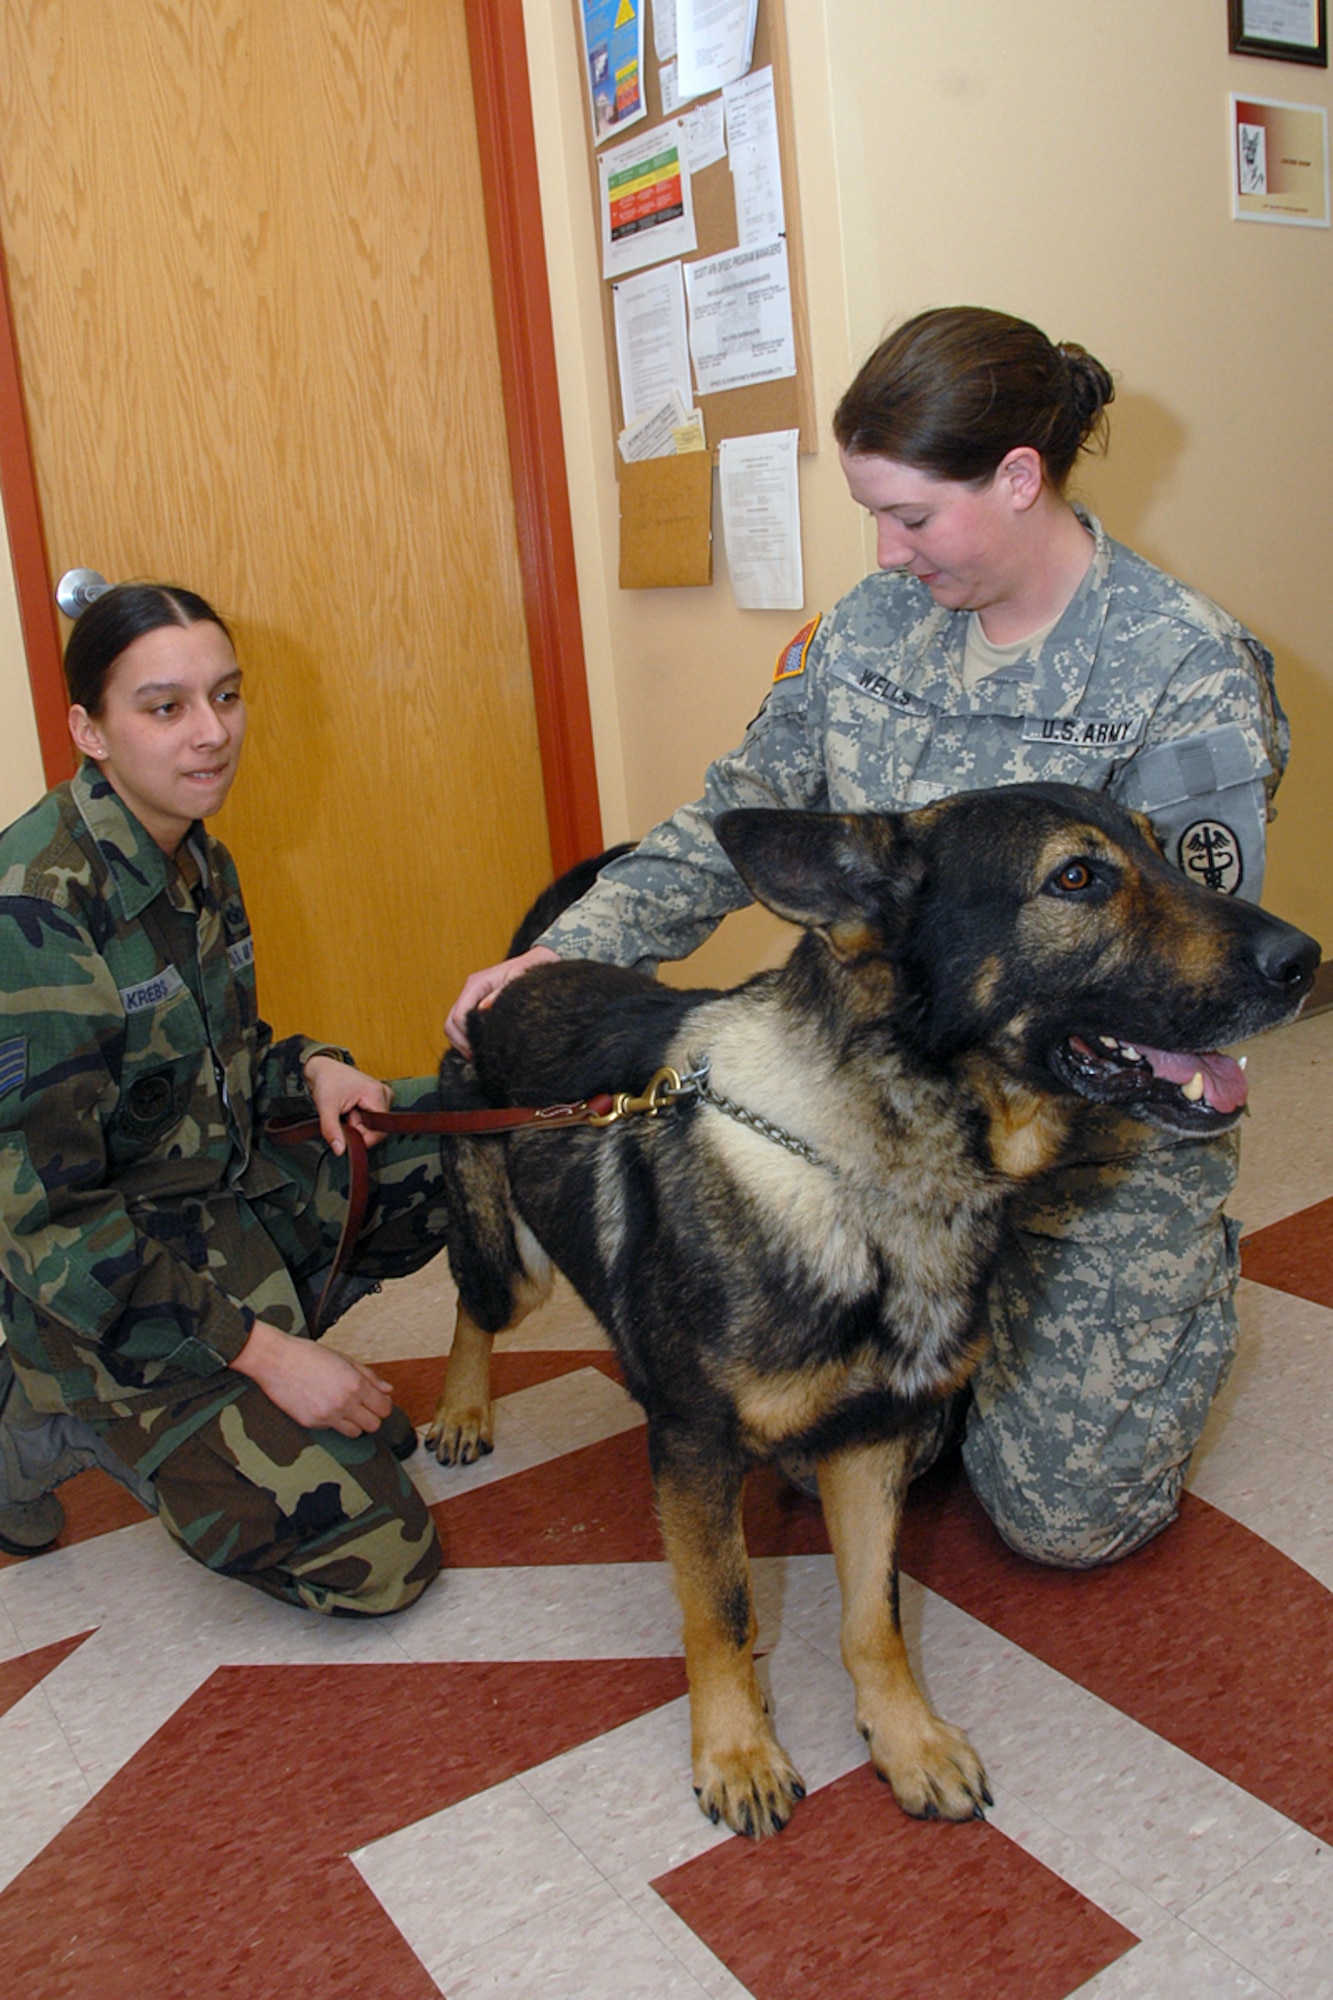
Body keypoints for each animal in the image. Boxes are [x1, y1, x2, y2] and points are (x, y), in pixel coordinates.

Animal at [422, 784, 1304, 1840]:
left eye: (1169, 851)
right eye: (1075, 877)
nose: (1305, 961)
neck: (874, 1171)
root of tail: (517, 975)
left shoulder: (873, 1438)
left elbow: (872, 1616)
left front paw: (904, 1739)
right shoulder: (694, 1449)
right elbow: (720, 1611)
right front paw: (736, 1752)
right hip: (514, 1267)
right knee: (473, 1307)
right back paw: (462, 1412)